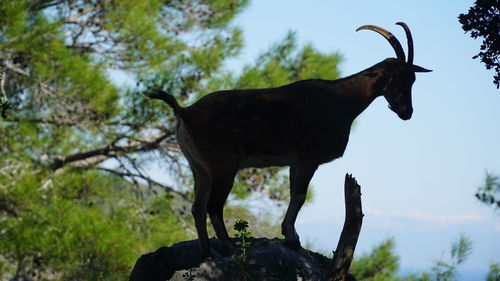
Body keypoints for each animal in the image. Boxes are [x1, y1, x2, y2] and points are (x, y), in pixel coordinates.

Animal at [146, 22, 432, 258]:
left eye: (413, 78)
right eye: (404, 78)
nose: (407, 112)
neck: (342, 100)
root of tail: (186, 112)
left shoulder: (295, 162)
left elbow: (294, 194)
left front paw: (290, 236)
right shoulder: (308, 158)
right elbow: (300, 195)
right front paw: (292, 239)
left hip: (198, 167)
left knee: (197, 207)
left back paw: (207, 252)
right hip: (223, 164)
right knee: (213, 206)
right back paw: (229, 248)